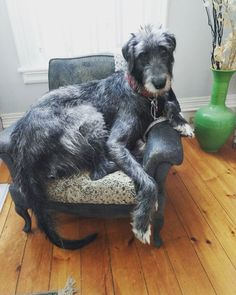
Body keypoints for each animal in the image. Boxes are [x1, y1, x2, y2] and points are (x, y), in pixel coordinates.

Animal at [9, 24, 194, 250]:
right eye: (142, 56)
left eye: (164, 51)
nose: (160, 82)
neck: (140, 92)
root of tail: (23, 147)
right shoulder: (114, 142)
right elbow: (147, 179)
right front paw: (142, 223)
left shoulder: (159, 101)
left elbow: (170, 103)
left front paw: (181, 122)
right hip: (90, 116)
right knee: (99, 170)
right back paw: (137, 152)